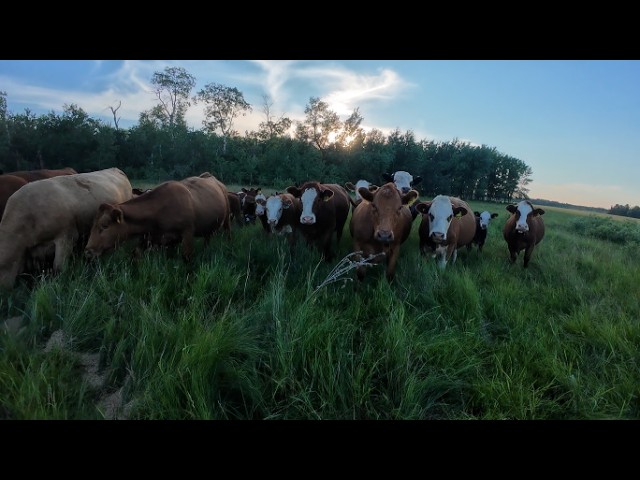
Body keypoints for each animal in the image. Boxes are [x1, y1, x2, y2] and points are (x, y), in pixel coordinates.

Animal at [84, 172, 231, 263]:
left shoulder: (188, 233)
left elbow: (186, 258)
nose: (88, 251)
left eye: (104, 226)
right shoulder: (149, 237)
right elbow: (135, 254)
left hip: (227, 219)